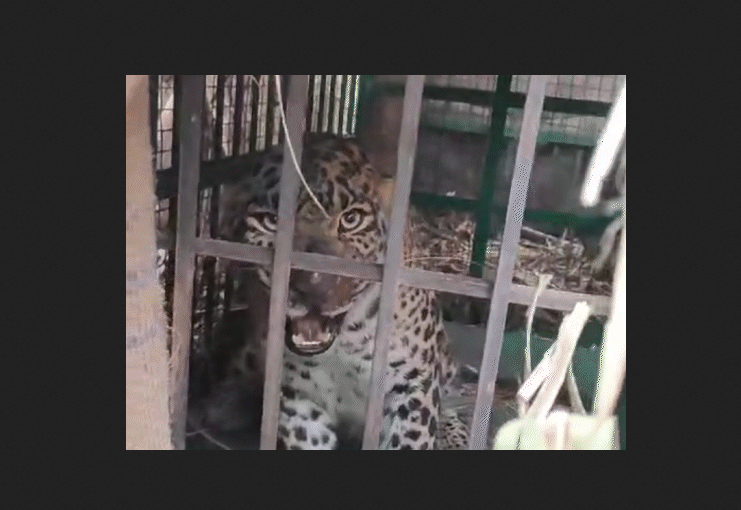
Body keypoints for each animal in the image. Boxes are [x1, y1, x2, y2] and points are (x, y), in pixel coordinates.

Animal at [193, 132, 473, 449]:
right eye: (271, 222)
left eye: (351, 219)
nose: (311, 283)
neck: (343, 345)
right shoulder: (296, 399)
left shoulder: (413, 383)